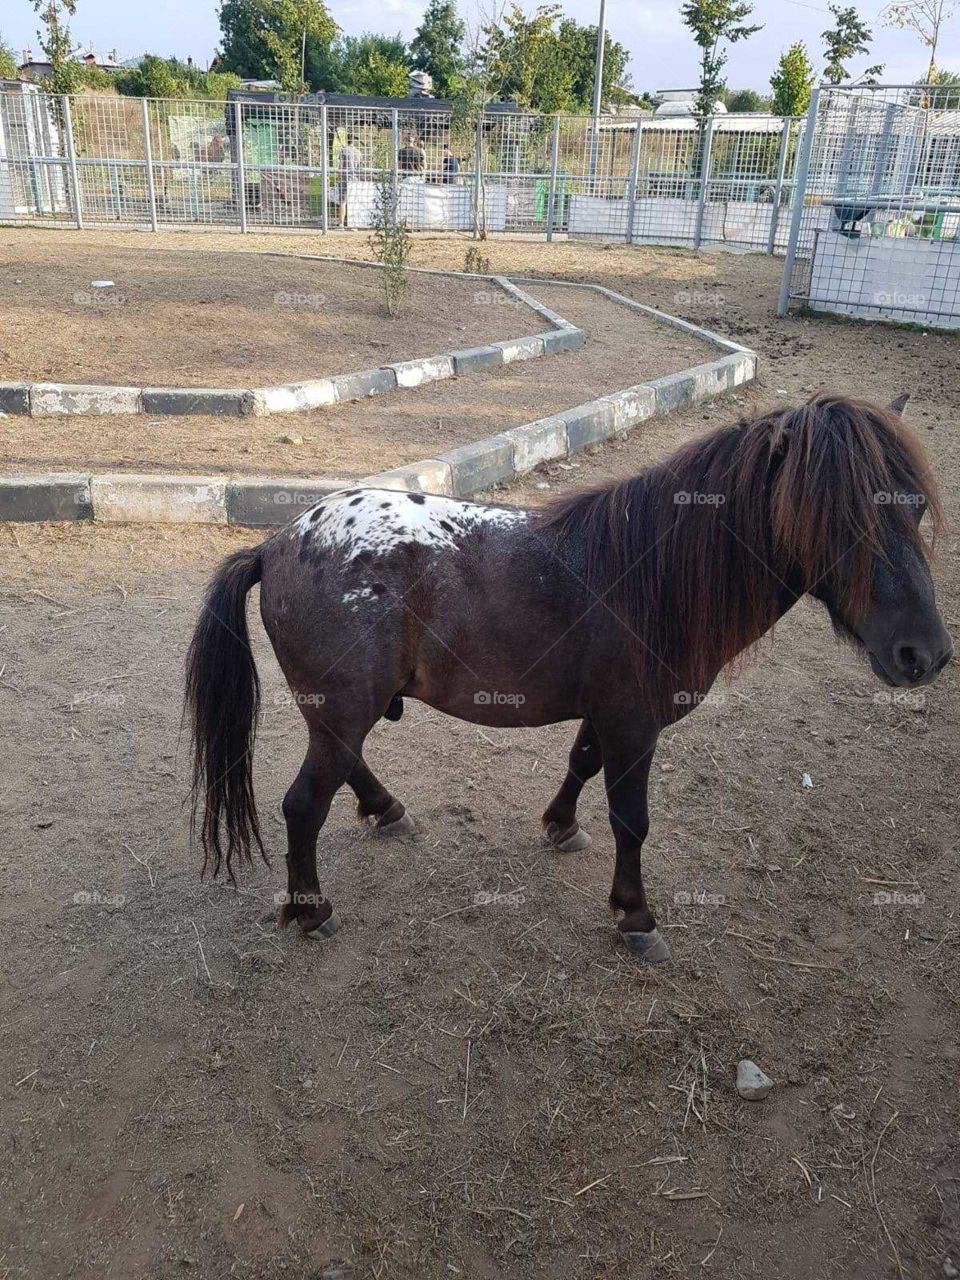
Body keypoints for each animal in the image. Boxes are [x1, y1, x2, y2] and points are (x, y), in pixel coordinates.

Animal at [186, 391, 952, 963]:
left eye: (914, 506)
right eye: (836, 519)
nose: (927, 654)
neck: (651, 576)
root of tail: (276, 545)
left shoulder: (610, 715)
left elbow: (581, 763)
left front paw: (560, 826)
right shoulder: (635, 724)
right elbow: (631, 819)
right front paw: (636, 916)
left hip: (346, 710)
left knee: (345, 771)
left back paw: (387, 811)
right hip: (344, 708)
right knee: (304, 803)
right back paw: (312, 910)